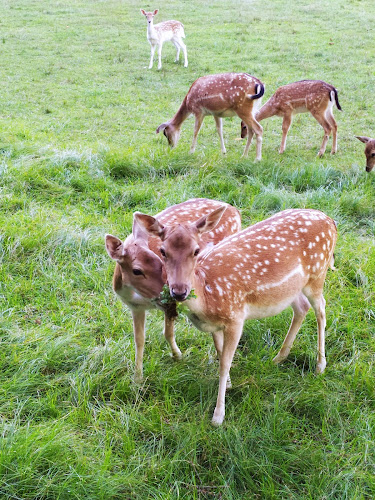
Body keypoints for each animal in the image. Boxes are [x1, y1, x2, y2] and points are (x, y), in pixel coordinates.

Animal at [105, 198, 244, 382]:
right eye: (136, 271)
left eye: (159, 263)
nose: (169, 293)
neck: (138, 296)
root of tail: (235, 210)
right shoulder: (135, 307)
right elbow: (139, 340)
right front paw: (137, 378)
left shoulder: (170, 304)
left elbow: (167, 332)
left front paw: (178, 356)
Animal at [137, 208, 340, 426]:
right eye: (163, 251)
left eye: (196, 250)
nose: (179, 291)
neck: (207, 298)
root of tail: (331, 221)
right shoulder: (215, 326)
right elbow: (219, 354)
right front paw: (229, 385)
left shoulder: (236, 317)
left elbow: (225, 363)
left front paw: (218, 415)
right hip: (292, 289)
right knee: (302, 307)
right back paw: (278, 358)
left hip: (318, 274)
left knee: (321, 309)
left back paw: (320, 366)